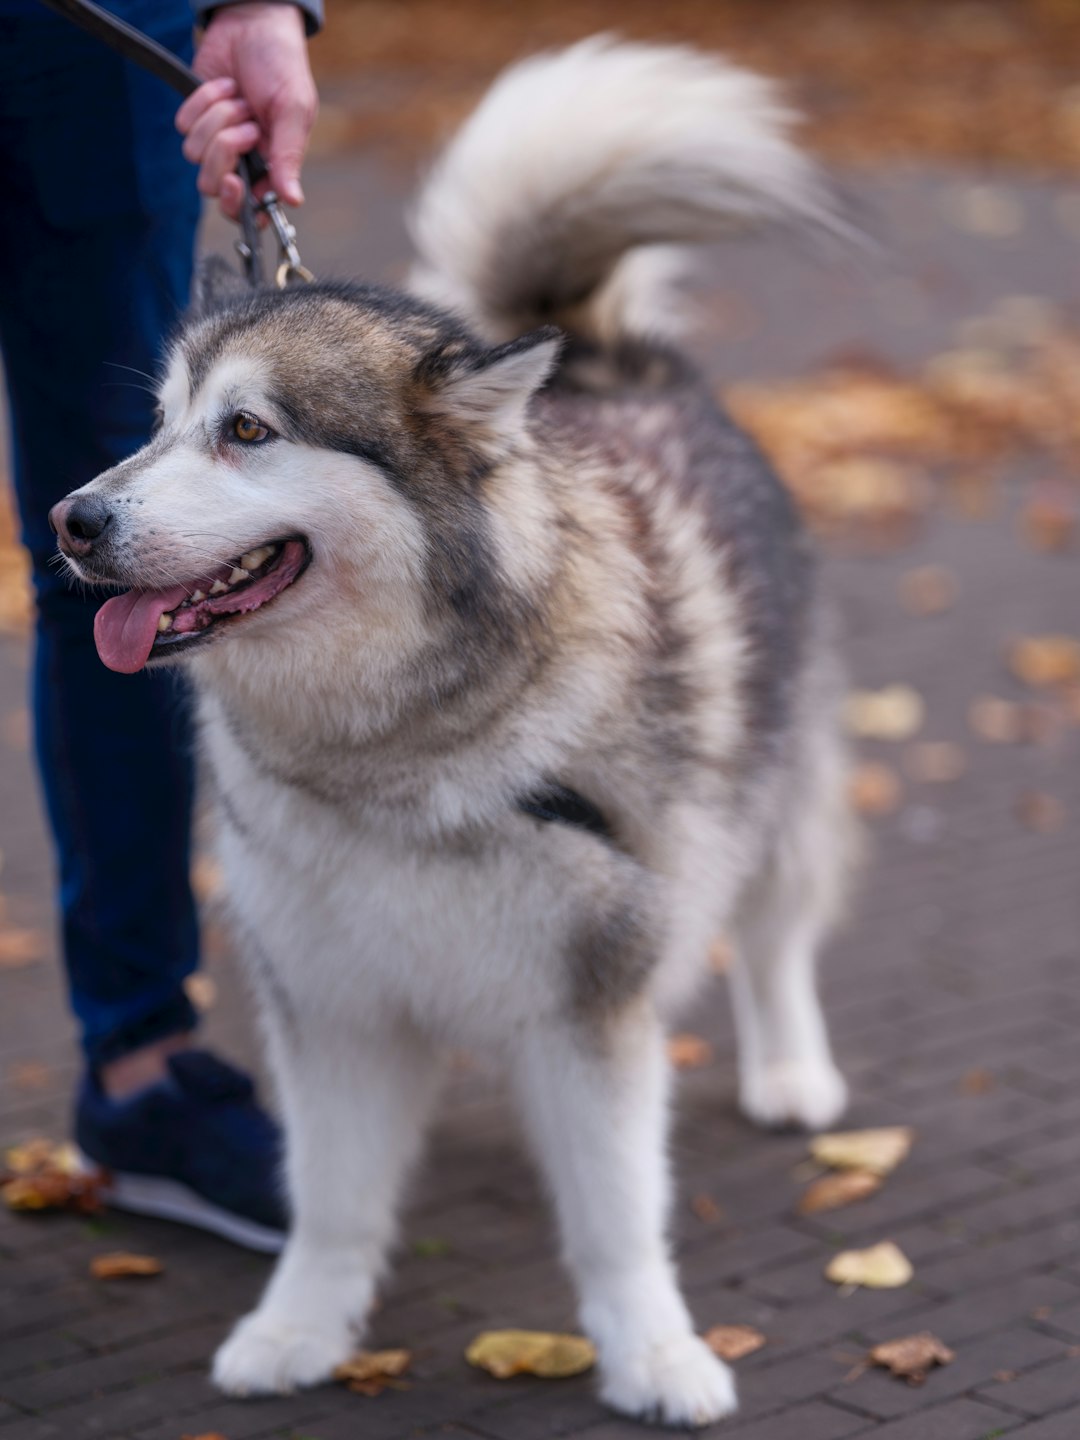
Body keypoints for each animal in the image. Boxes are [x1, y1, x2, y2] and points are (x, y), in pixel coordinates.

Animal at [50, 42, 858, 1428]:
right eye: (155, 424)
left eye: (247, 431)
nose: (71, 521)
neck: (395, 749)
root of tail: (605, 358)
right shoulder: (328, 1004)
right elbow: (331, 1202)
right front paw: (298, 1329)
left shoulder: (595, 1001)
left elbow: (617, 1219)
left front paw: (654, 1354)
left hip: (770, 793)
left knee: (773, 932)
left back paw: (792, 1070)